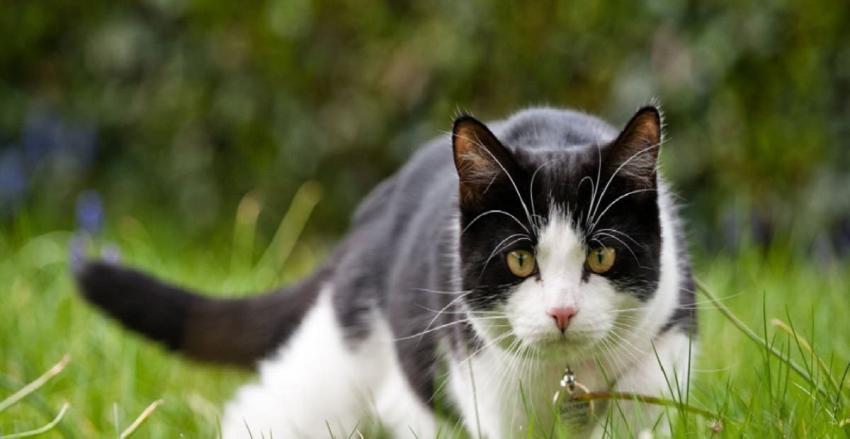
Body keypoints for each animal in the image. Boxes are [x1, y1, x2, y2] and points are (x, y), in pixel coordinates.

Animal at [74, 105, 696, 438]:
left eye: (601, 256)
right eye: (520, 259)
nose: (563, 312)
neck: (566, 379)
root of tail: (374, 211)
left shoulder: (671, 327)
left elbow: (648, 394)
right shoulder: (485, 380)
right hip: (340, 359)